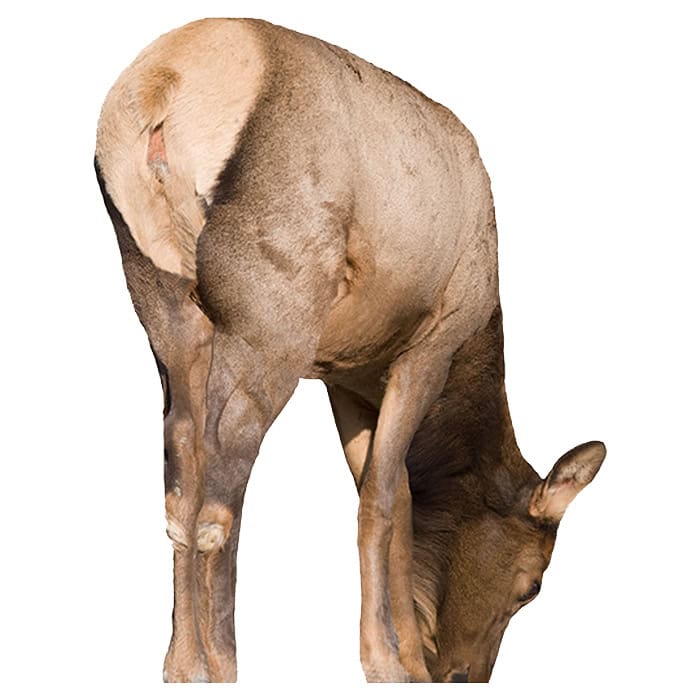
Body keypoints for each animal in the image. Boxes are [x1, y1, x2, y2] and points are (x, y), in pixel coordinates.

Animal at [95, 18, 606, 683]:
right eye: (533, 585)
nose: (462, 672)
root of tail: (164, 85)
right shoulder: (429, 346)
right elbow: (382, 500)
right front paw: (387, 661)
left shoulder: (346, 376)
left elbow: (395, 496)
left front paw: (405, 652)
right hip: (271, 320)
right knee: (220, 483)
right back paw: (225, 661)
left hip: (163, 305)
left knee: (179, 466)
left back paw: (182, 665)